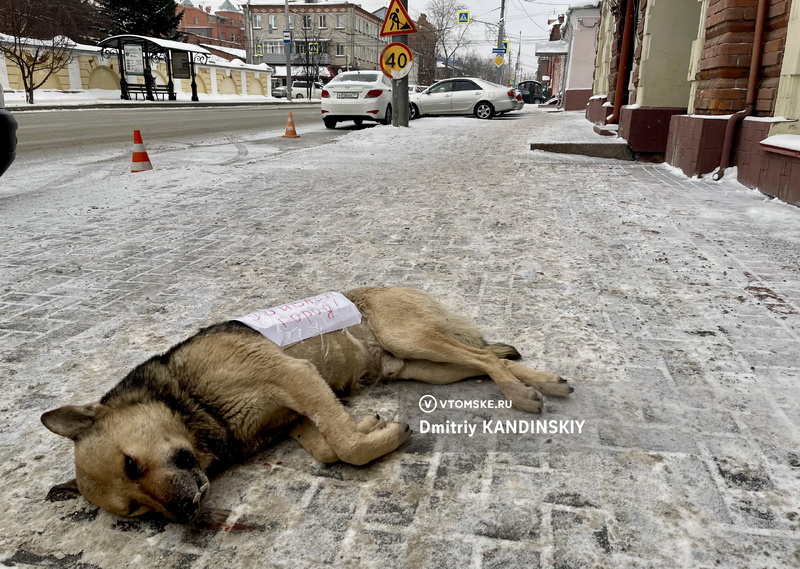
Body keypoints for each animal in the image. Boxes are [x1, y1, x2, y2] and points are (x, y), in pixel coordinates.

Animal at [43, 286, 572, 520]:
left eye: (131, 465)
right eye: (136, 512)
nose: (188, 512)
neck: (191, 402)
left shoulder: (295, 376)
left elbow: (345, 446)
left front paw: (382, 434)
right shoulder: (295, 414)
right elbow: (328, 445)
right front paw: (369, 423)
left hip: (412, 338)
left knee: (483, 356)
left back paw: (523, 394)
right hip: (423, 365)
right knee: (485, 360)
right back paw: (545, 381)